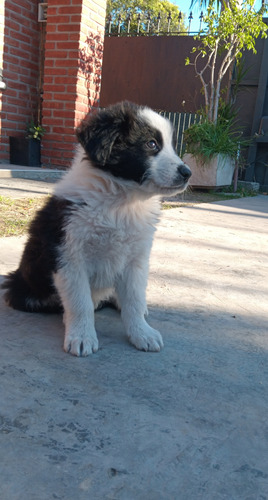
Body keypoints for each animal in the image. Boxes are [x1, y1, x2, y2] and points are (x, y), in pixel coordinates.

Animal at [2, 102, 191, 356]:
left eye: (172, 145)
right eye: (151, 144)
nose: (187, 173)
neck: (121, 202)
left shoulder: (136, 259)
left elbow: (134, 299)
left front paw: (142, 332)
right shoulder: (69, 256)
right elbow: (80, 302)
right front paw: (81, 336)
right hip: (25, 290)